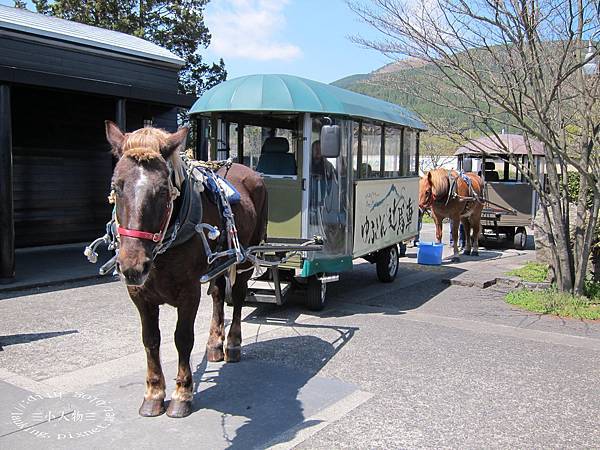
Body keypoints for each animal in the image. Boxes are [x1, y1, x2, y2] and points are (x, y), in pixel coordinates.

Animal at [105, 122, 268, 418]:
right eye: (116, 186)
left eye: (162, 190)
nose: (132, 266)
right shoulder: (139, 294)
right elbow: (151, 340)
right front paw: (154, 394)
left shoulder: (189, 292)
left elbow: (182, 338)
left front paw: (182, 394)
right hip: (218, 262)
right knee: (218, 294)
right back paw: (215, 343)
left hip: (245, 259)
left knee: (238, 297)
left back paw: (233, 343)